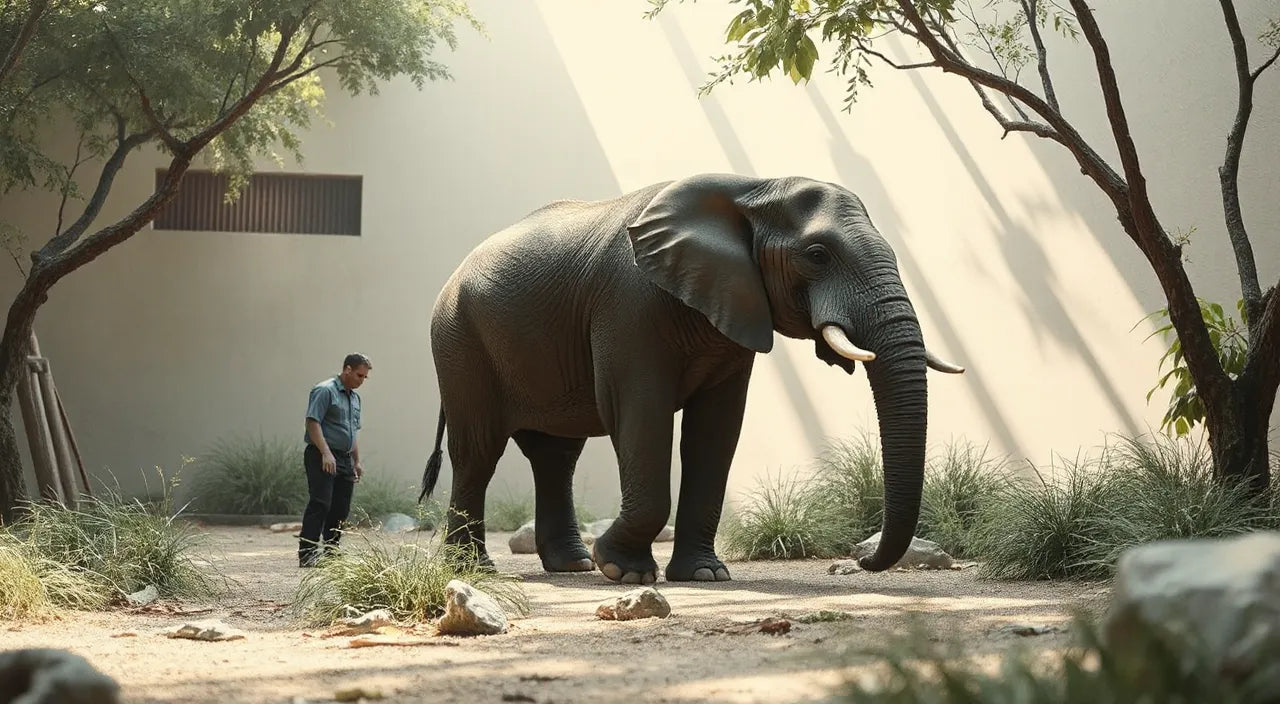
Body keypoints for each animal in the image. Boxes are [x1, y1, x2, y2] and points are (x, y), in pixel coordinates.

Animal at [418, 172, 964, 584]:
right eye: (817, 255)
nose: (860, 559)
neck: (752, 188)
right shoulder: (629, 302)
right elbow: (640, 412)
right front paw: (621, 571)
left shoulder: (737, 310)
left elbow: (716, 429)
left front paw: (704, 576)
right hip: (458, 339)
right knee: (479, 452)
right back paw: (476, 571)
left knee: (556, 455)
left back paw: (571, 567)